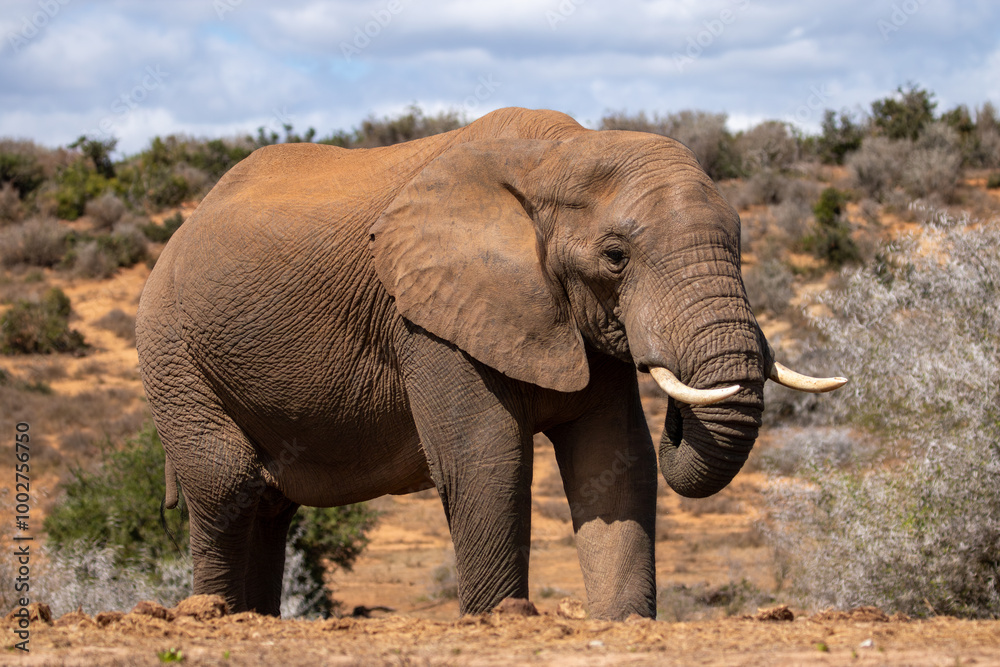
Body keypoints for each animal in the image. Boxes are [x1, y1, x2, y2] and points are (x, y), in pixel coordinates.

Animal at [135, 107, 845, 621]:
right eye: (615, 257)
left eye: (741, 243)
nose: (676, 409)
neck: (556, 153)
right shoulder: (427, 317)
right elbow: (486, 460)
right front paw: (503, 618)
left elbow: (615, 460)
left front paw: (623, 623)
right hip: (169, 347)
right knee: (228, 481)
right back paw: (213, 616)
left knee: (269, 504)